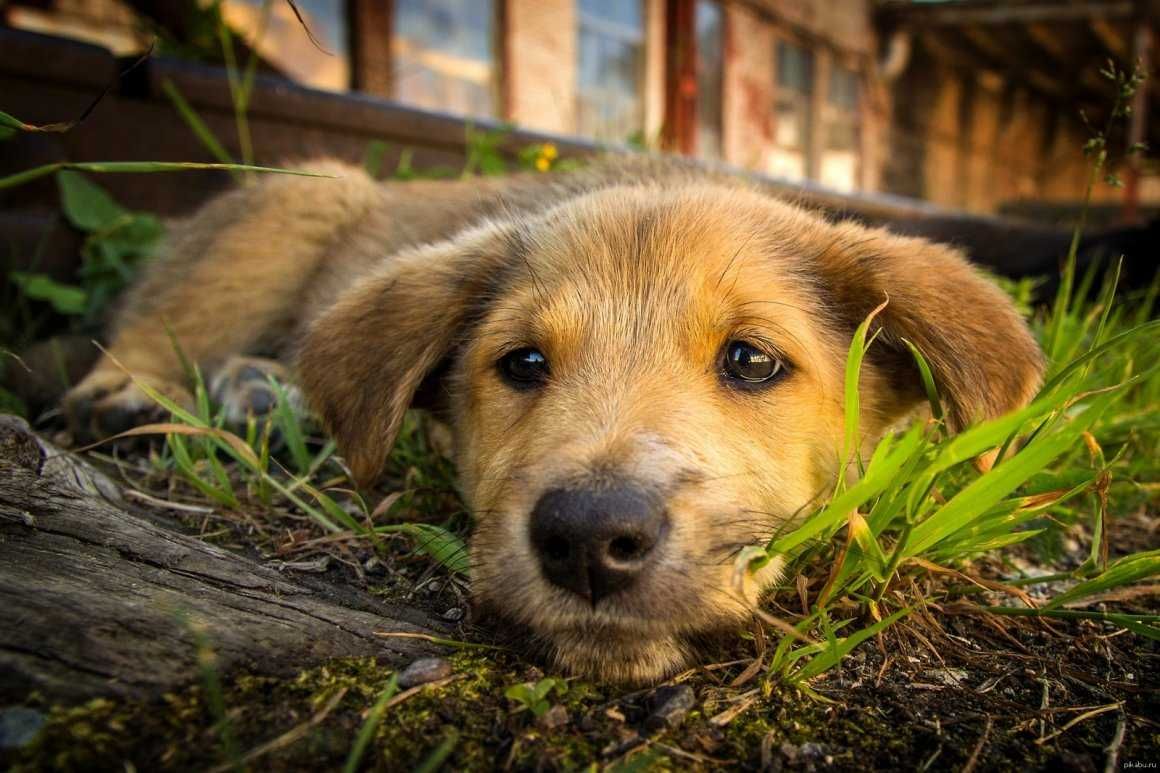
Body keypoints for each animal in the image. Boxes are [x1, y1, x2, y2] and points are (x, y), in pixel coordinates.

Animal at [61, 155, 1044, 682]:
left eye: (752, 360)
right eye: (523, 363)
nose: (589, 540)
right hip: (297, 201)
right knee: (148, 323)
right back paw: (131, 393)